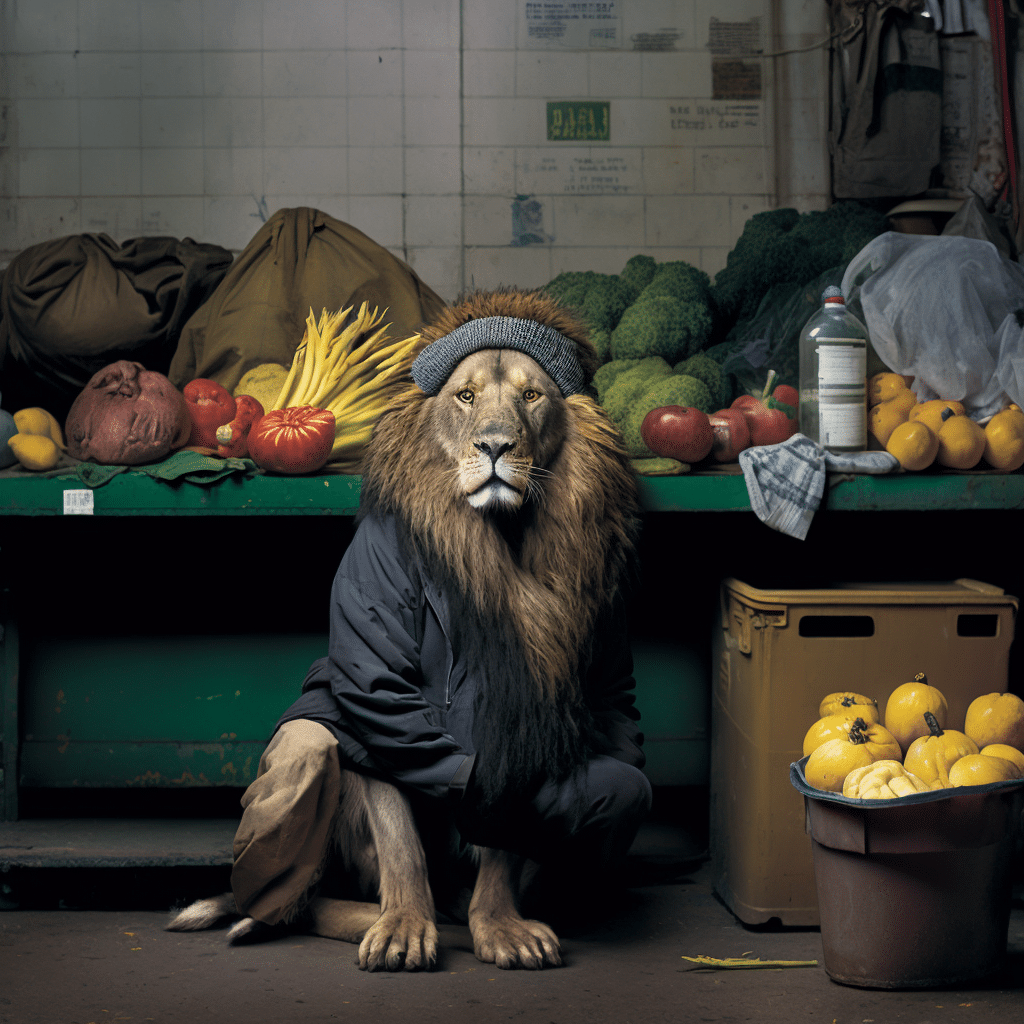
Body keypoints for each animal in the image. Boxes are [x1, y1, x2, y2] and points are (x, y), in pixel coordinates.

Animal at [166, 287, 649, 971]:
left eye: (532, 396)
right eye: (466, 396)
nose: (496, 446)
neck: (501, 536)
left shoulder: (527, 705)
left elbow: (506, 825)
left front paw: (500, 927)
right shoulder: (381, 702)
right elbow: (399, 836)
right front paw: (401, 928)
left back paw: (466, 919)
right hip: (309, 771)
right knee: (302, 853)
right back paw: (305, 917)